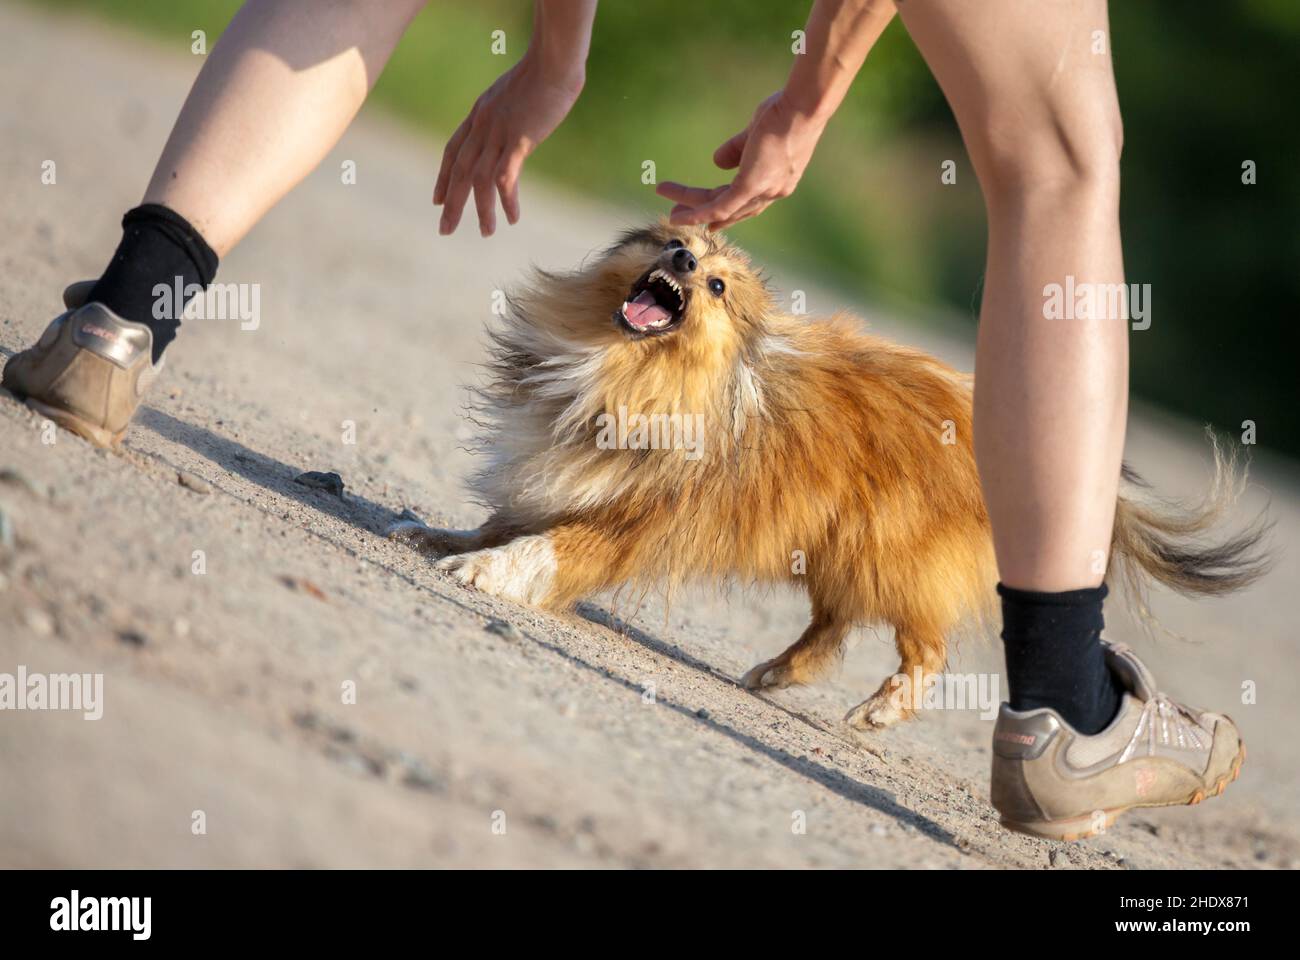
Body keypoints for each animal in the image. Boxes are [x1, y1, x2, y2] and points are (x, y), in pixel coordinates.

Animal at [390, 222, 1263, 723]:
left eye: (716, 287)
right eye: (677, 247)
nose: (683, 257)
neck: (623, 369)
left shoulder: (633, 521)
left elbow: (548, 548)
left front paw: (485, 572)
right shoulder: (557, 472)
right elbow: (506, 518)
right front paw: (443, 538)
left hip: (890, 553)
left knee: (925, 644)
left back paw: (881, 709)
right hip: (839, 545)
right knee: (833, 626)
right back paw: (775, 673)